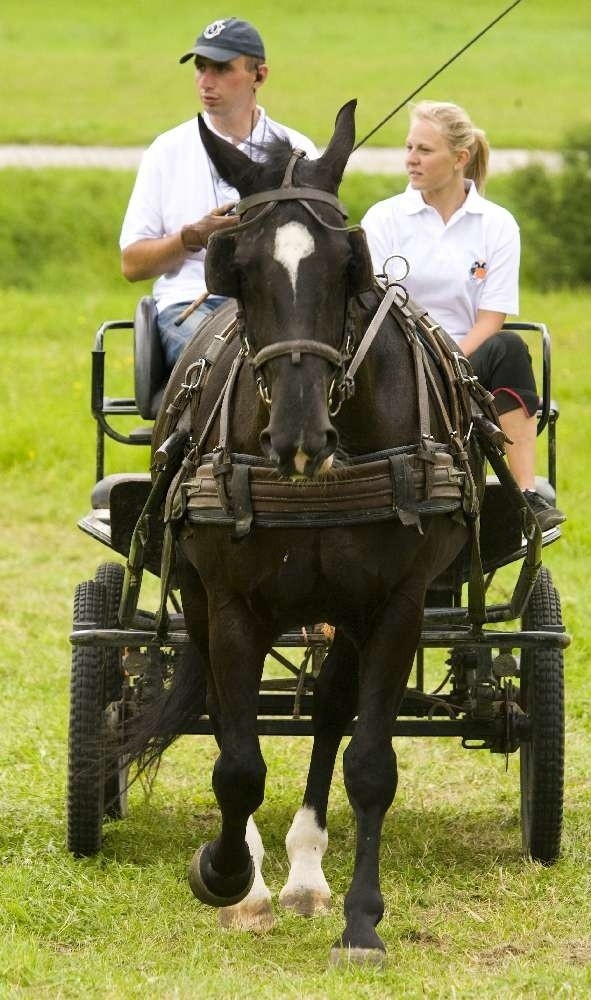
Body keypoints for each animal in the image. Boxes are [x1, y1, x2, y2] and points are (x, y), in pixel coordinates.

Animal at [148, 99, 480, 960]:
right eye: (236, 265)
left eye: (346, 266)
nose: (297, 435)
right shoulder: (233, 606)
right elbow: (236, 764)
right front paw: (226, 876)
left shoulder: (394, 606)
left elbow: (368, 763)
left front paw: (362, 919)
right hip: (204, 600)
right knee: (228, 718)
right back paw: (261, 879)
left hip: (345, 616)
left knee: (329, 711)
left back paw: (304, 872)